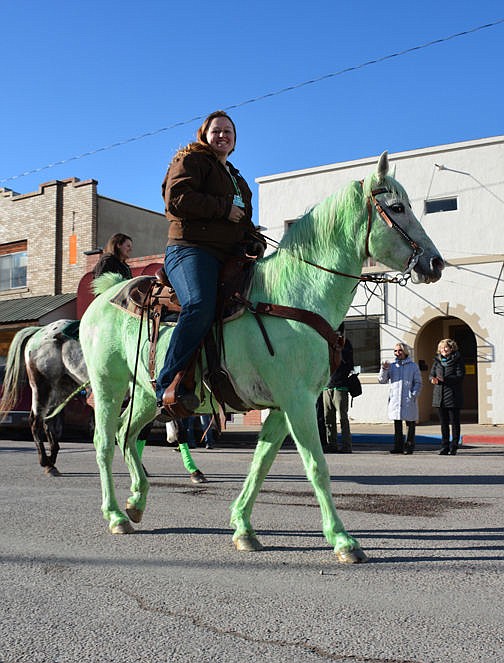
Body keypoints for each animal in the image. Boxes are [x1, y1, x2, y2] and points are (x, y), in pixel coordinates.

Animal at [79, 153, 444, 564]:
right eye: (397, 208)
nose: (435, 263)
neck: (296, 293)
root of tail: (106, 295)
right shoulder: (298, 401)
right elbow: (316, 465)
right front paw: (342, 539)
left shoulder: (284, 406)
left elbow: (262, 462)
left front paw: (243, 527)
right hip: (107, 386)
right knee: (104, 441)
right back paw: (115, 514)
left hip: (145, 392)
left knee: (127, 435)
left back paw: (137, 502)